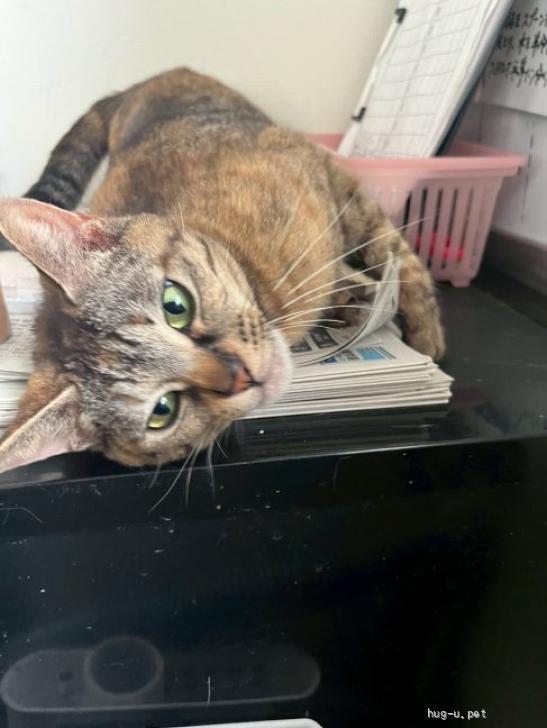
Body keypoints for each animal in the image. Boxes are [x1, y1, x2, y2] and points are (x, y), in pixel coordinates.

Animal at [0, 67, 444, 474]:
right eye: (163, 410)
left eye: (175, 304)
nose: (240, 375)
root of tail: (137, 86)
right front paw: (354, 299)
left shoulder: (334, 183)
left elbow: (398, 256)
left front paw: (425, 334)